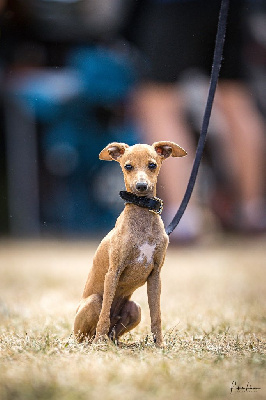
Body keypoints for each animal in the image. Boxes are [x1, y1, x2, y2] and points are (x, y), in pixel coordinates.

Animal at [74, 141, 187, 346]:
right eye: (128, 166)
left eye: (152, 165)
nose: (141, 186)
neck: (142, 213)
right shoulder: (113, 272)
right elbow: (104, 315)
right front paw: (99, 343)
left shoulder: (155, 276)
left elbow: (156, 315)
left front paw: (159, 344)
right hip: (93, 303)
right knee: (91, 332)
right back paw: (97, 342)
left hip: (135, 309)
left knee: (114, 333)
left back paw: (117, 343)